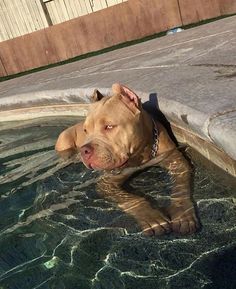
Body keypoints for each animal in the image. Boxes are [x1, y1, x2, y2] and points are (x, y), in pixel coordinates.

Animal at [55, 82, 199, 235]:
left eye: (109, 126)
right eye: (85, 130)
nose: (84, 150)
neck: (140, 156)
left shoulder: (175, 160)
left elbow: (180, 187)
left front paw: (182, 214)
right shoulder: (106, 183)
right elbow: (131, 199)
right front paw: (151, 218)